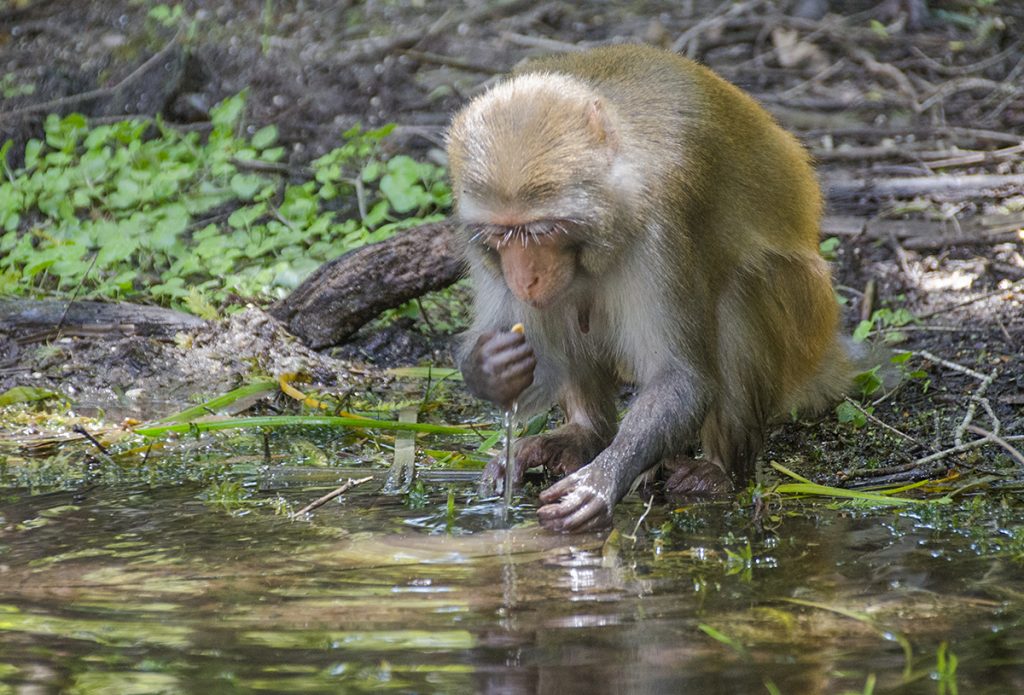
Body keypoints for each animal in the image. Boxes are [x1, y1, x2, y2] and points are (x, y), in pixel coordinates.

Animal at [444, 44, 851, 532]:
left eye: (543, 231)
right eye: (503, 235)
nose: (524, 278)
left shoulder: (666, 219)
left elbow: (680, 378)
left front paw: (603, 478)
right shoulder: (481, 245)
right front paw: (491, 366)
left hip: (806, 324)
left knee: (740, 290)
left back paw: (718, 470)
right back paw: (583, 434)